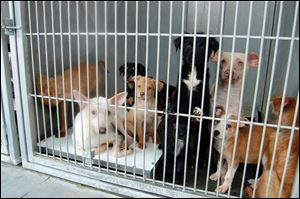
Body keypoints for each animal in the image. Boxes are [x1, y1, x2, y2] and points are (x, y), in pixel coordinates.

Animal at [156, 32, 219, 183]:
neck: (193, 71)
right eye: (189, 45)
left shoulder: (202, 94)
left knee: (199, 149)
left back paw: (199, 162)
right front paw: (172, 110)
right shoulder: (181, 91)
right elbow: (176, 104)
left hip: (202, 135)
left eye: (202, 46)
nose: (194, 57)